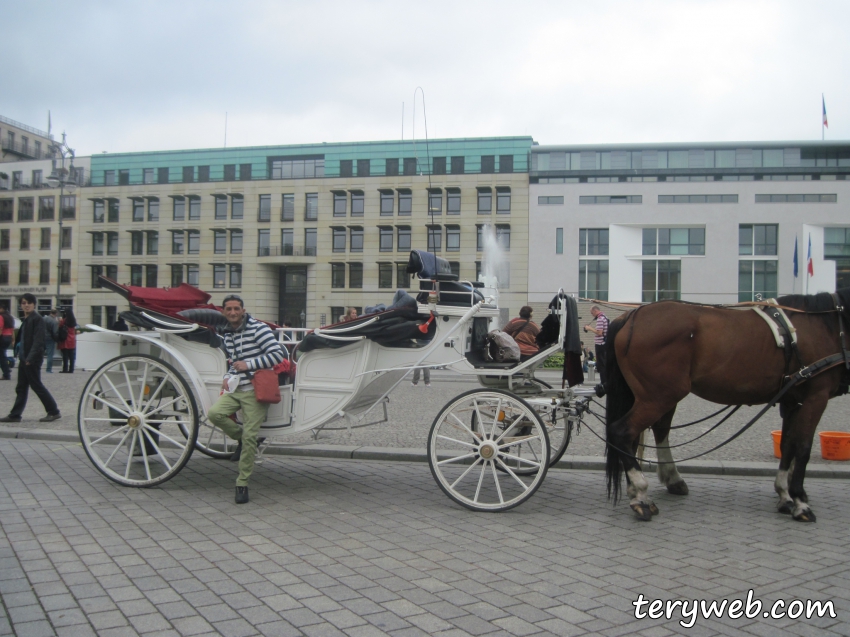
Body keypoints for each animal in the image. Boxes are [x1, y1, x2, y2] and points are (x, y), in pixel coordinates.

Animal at [604, 288, 848, 520]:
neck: (825, 324)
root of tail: (632, 315)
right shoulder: (815, 397)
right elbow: (804, 447)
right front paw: (800, 502)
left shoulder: (792, 400)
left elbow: (788, 445)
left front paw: (785, 495)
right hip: (660, 397)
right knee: (623, 432)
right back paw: (641, 493)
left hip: (655, 397)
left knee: (645, 434)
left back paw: (653, 485)